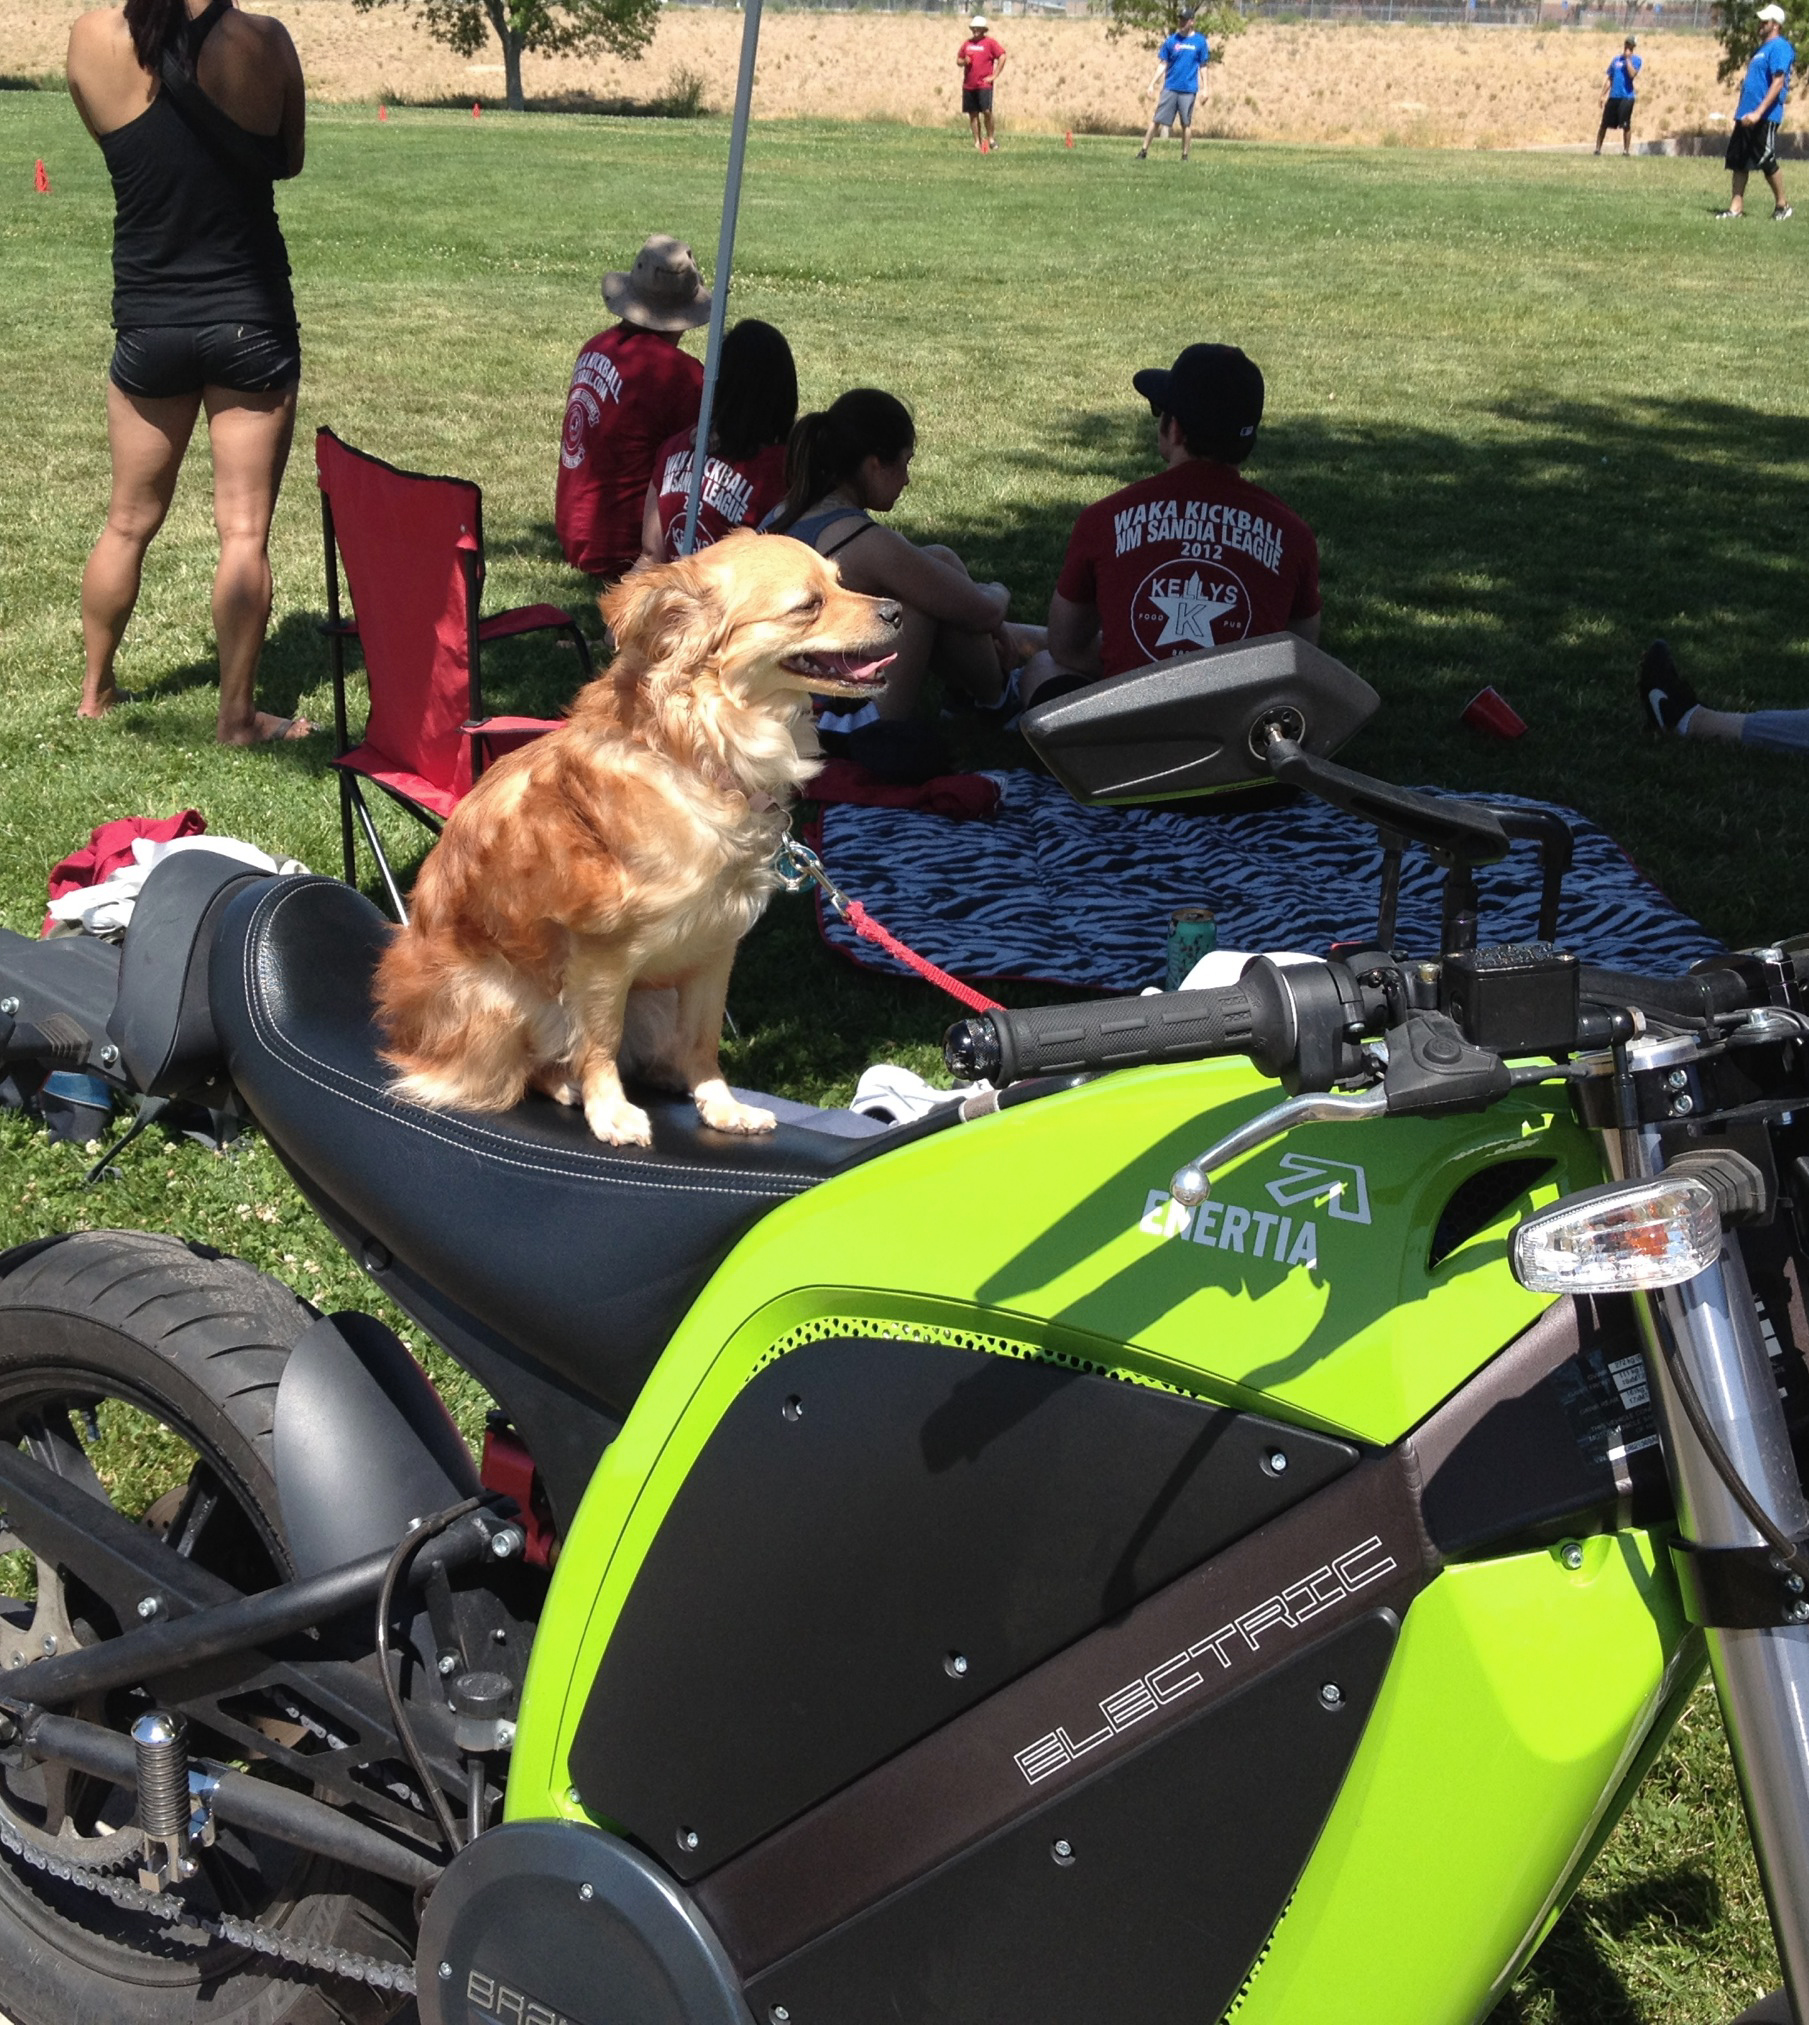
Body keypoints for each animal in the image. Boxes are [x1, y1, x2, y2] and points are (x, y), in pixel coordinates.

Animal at [373, 532, 901, 1146]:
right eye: (807, 605)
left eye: (843, 582)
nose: (896, 610)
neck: (698, 756)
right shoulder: (600, 956)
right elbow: (599, 1042)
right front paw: (610, 1111)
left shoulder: (714, 947)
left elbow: (702, 1040)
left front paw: (721, 1106)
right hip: (502, 999)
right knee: (526, 1066)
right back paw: (566, 1085)